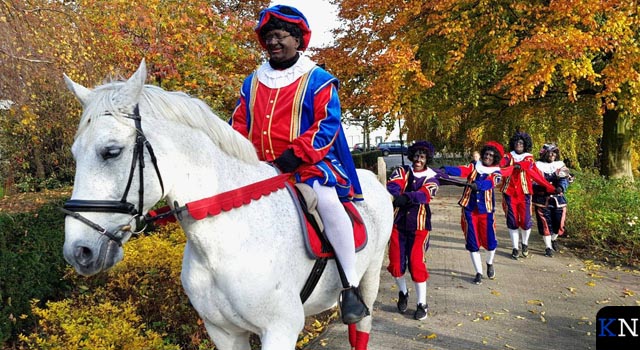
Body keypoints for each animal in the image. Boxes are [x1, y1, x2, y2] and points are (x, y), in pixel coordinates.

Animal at [62, 60, 392, 350]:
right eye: (74, 153)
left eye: (111, 151)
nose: (79, 251)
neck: (226, 242)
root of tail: (372, 178)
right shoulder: (223, 332)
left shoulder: (280, 329)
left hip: (371, 277)